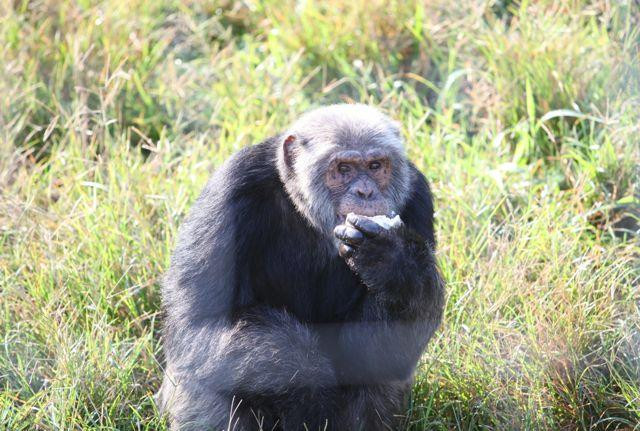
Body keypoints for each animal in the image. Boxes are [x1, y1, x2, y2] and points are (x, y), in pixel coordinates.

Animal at [157, 104, 445, 431]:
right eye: (343, 169)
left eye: (375, 166)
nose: (365, 192)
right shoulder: (229, 192)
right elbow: (201, 321)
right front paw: (308, 383)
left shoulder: (419, 197)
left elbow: (387, 347)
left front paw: (393, 257)